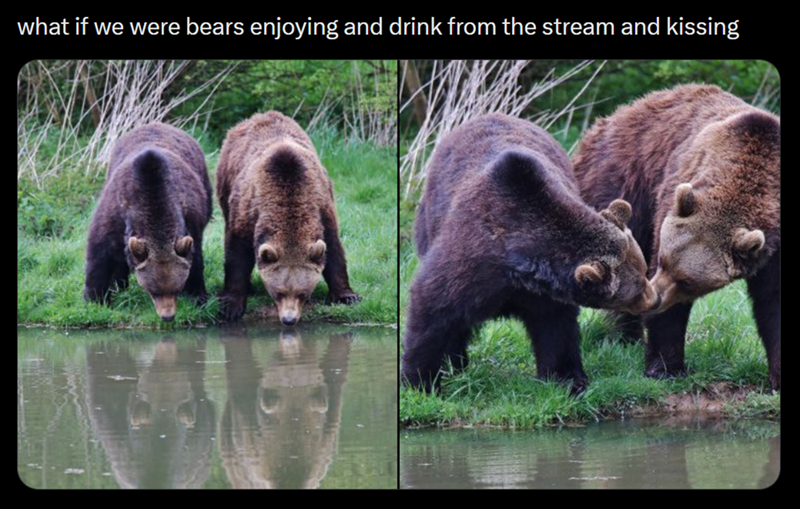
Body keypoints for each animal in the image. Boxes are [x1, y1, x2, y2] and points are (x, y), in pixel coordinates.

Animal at [83, 123, 212, 321]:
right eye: (153, 291)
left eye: (176, 289)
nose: (168, 316)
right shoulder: (115, 214)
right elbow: (100, 255)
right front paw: (95, 299)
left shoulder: (190, 219)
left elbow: (195, 258)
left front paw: (197, 297)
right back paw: (120, 284)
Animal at [216, 111, 360, 325]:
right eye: (278, 292)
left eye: (303, 293)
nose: (289, 319)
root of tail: (259, 115)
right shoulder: (248, 212)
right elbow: (236, 253)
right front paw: (230, 305)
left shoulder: (322, 208)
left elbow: (334, 250)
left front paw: (347, 296)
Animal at [401, 113, 659, 394]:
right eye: (636, 287)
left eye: (644, 269)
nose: (654, 299)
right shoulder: (470, 258)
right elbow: (434, 306)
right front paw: (420, 381)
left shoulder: (546, 292)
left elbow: (555, 327)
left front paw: (568, 379)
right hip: (428, 220)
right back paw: (456, 362)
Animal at [573, 84, 780, 390]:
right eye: (661, 260)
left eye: (687, 280)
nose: (655, 297)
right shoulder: (671, 191)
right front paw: (666, 368)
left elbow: (773, 301)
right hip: (622, 182)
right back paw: (627, 336)